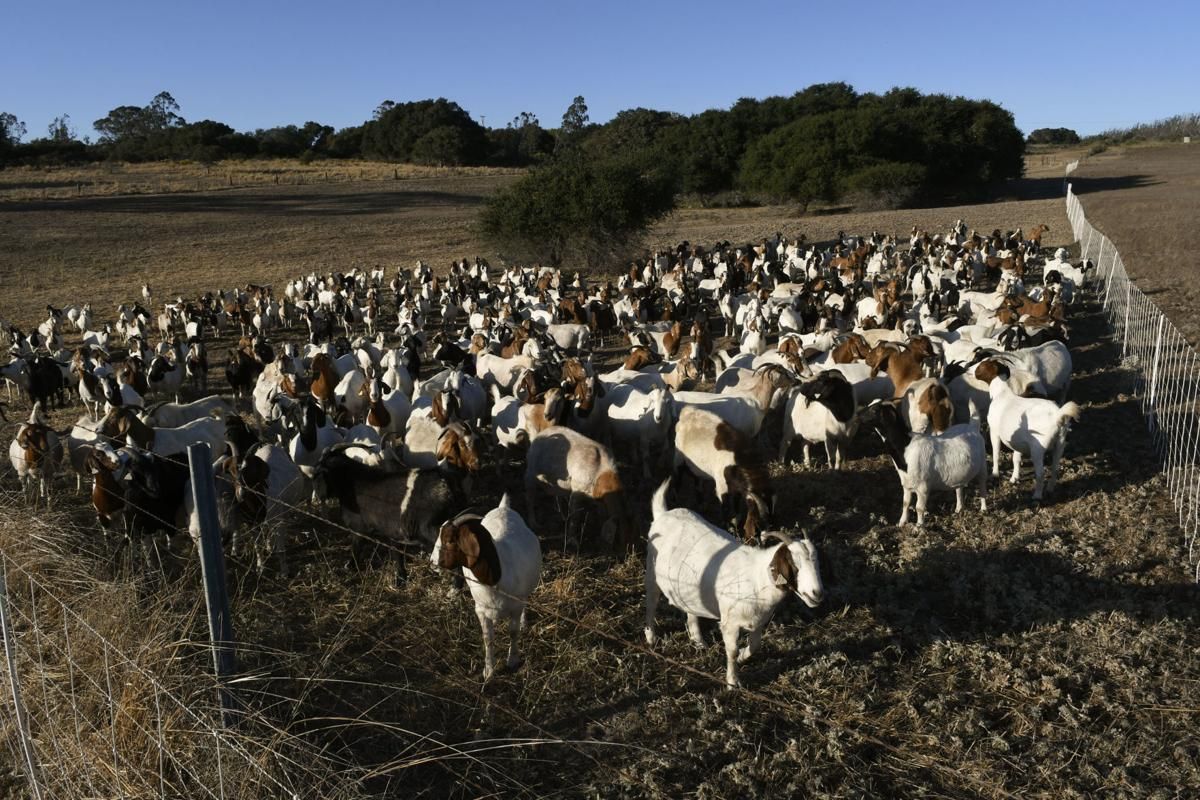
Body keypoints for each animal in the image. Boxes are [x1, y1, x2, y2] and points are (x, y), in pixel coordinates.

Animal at [644, 480, 824, 688]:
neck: (757, 578)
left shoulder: (759, 621)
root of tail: (662, 514)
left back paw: (698, 641)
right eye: (794, 565)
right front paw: (732, 681)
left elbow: (755, 646)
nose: (817, 593)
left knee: (690, 610)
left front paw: (743, 658)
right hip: (652, 573)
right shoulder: (730, 623)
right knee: (651, 603)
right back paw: (651, 638)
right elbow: (731, 651)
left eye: (816, 563)